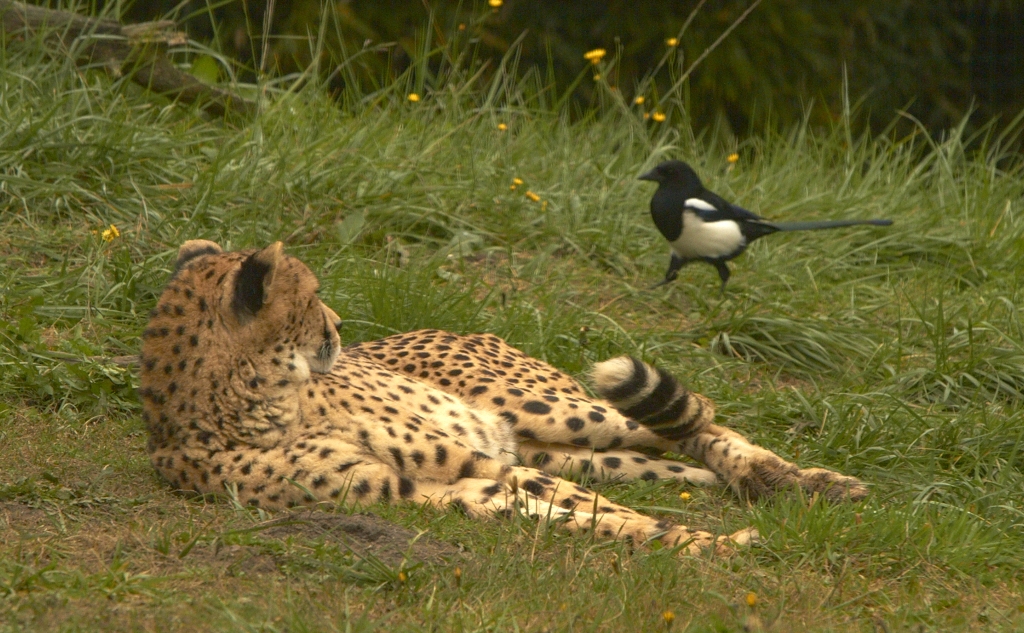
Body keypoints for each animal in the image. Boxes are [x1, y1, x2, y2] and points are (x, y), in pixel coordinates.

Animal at [140, 240, 868, 553]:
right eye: (314, 296)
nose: (340, 326)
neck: (257, 400)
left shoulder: (482, 462)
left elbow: (595, 509)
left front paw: (692, 538)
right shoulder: (442, 489)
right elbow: (575, 514)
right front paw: (688, 539)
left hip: (553, 408)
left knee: (707, 423)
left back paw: (806, 481)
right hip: (561, 447)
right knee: (669, 453)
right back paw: (739, 486)